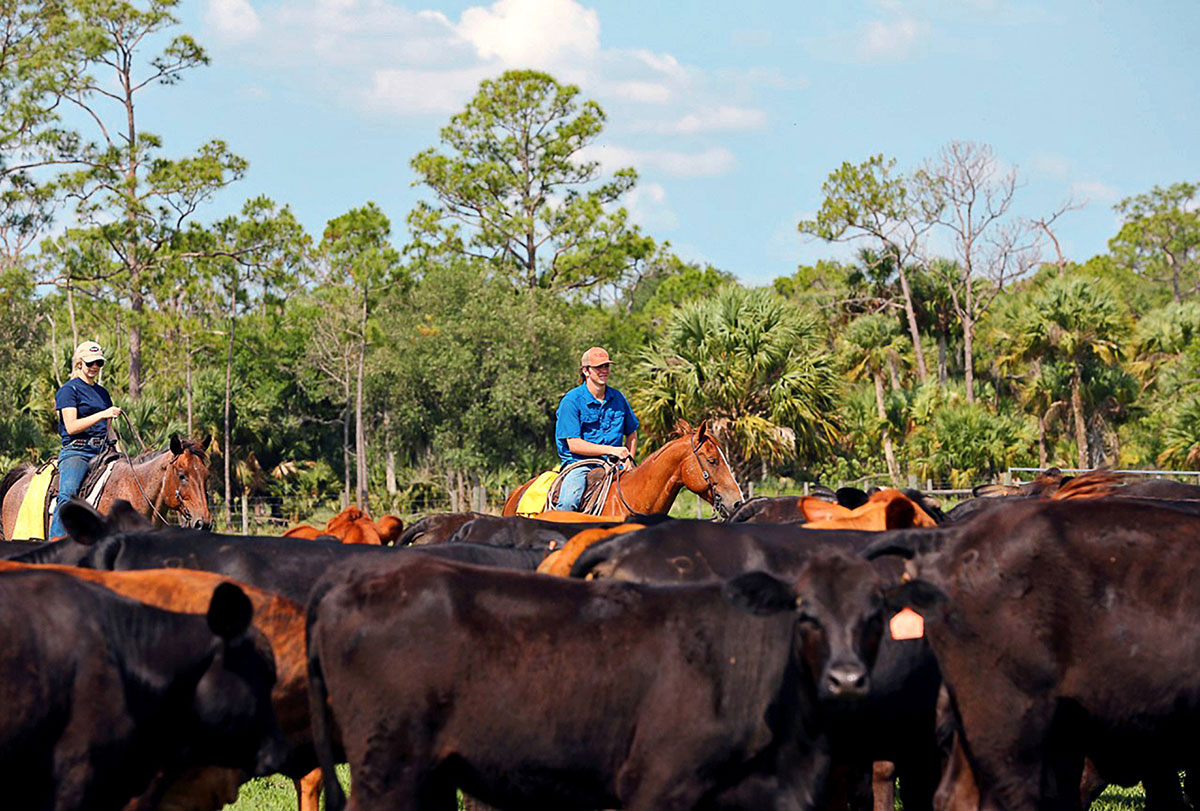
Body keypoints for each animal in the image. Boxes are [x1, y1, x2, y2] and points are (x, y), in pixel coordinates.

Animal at [306, 552, 894, 811]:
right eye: (806, 613)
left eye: (876, 613)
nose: (846, 678)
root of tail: (351, 578)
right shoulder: (656, 785)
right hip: (386, 771)